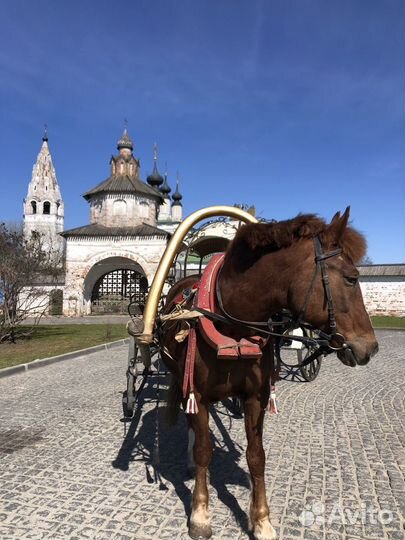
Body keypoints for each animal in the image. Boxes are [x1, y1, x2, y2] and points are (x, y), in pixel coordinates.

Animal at [159, 208, 378, 540]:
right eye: (352, 279)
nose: (371, 346)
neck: (230, 326)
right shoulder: (198, 393)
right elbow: (204, 451)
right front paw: (200, 514)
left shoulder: (254, 398)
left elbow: (256, 456)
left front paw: (261, 520)